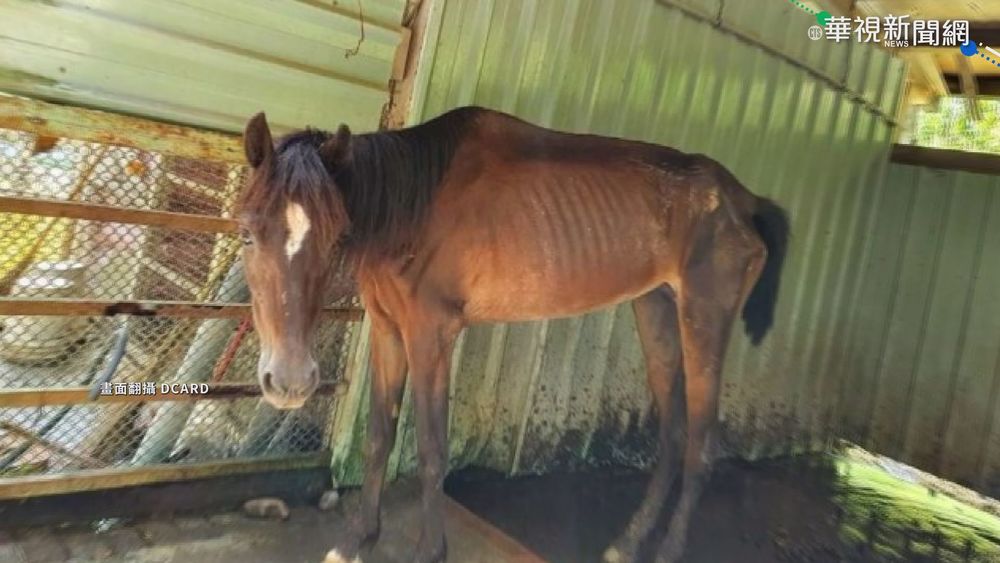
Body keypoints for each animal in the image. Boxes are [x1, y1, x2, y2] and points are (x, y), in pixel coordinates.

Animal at [236, 106, 789, 563]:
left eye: (333, 238)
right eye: (246, 233)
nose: (289, 382)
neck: (415, 203)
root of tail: (744, 200)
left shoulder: (431, 335)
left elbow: (432, 449)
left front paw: (430, 551)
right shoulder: (389, 331)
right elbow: (378, 437)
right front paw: (356, 541)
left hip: (705, 321)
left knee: (700, 447)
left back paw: (668, 551)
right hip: (656, 312)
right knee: (673, 437)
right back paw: (627, 545)